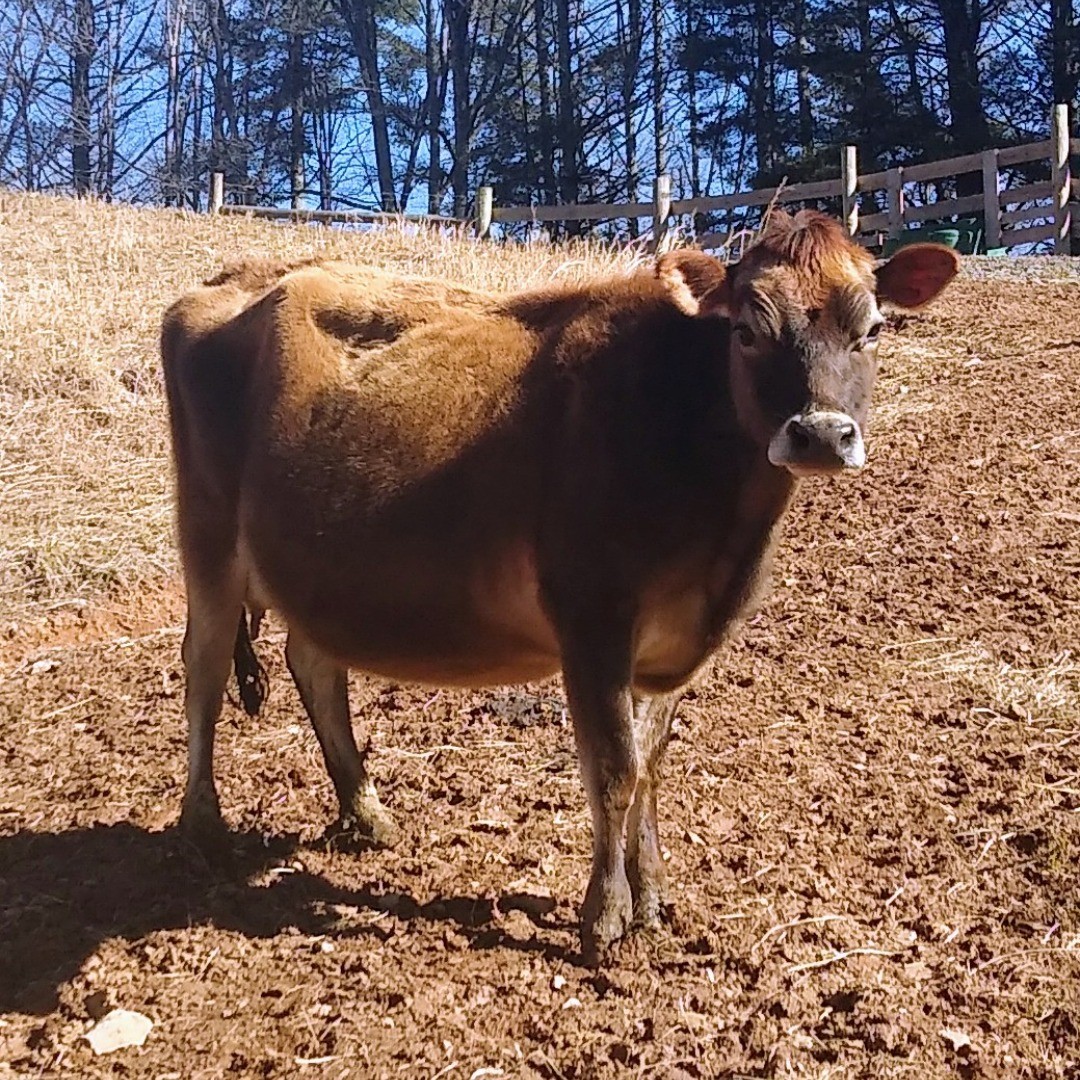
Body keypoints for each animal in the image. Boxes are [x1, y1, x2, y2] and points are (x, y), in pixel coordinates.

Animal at [160, 211, 958, 962]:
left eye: (873, 329)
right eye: (745, 332)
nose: (820, 434)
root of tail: (235, 277)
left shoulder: (671, 648)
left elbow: (649, 768)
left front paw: (652, 895)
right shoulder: (592, 620)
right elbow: (613, 771)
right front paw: (603, 917)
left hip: (314, 567)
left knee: (314, 663)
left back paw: (366, 812)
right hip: (206, 536)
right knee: (203, 668)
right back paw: (204, 825)